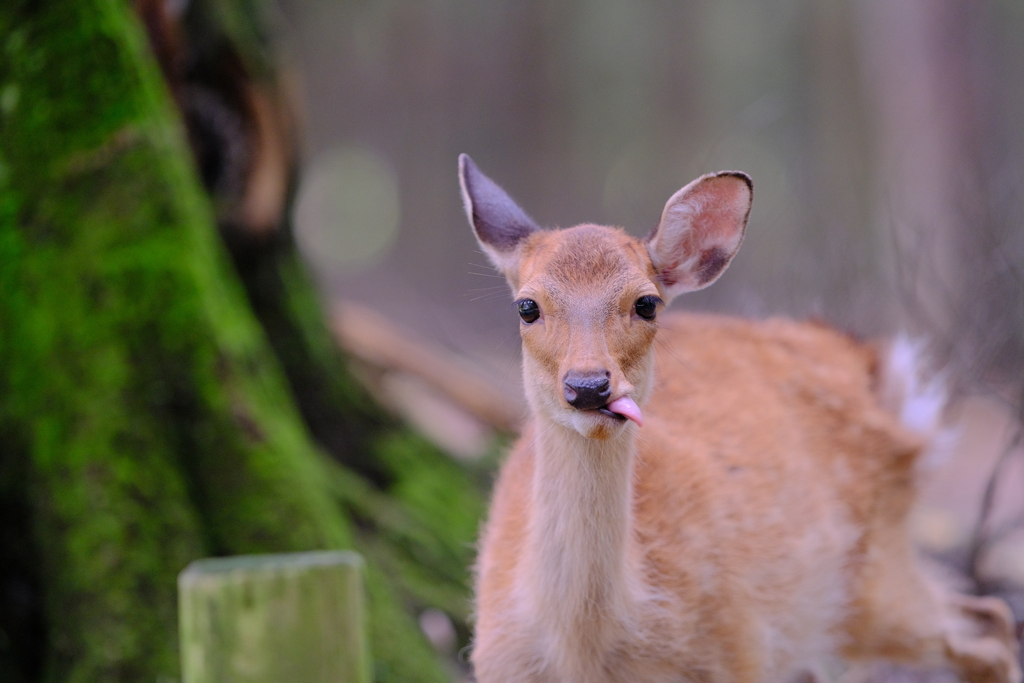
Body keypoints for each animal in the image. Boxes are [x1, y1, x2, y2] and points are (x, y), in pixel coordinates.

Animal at [460, 154, 1019, 683]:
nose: (590, 386)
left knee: (992, 624)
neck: (589, 651)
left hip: (873, 576)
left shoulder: (737, 649)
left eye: (647, 303)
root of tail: (871, 366)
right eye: (527, 306)